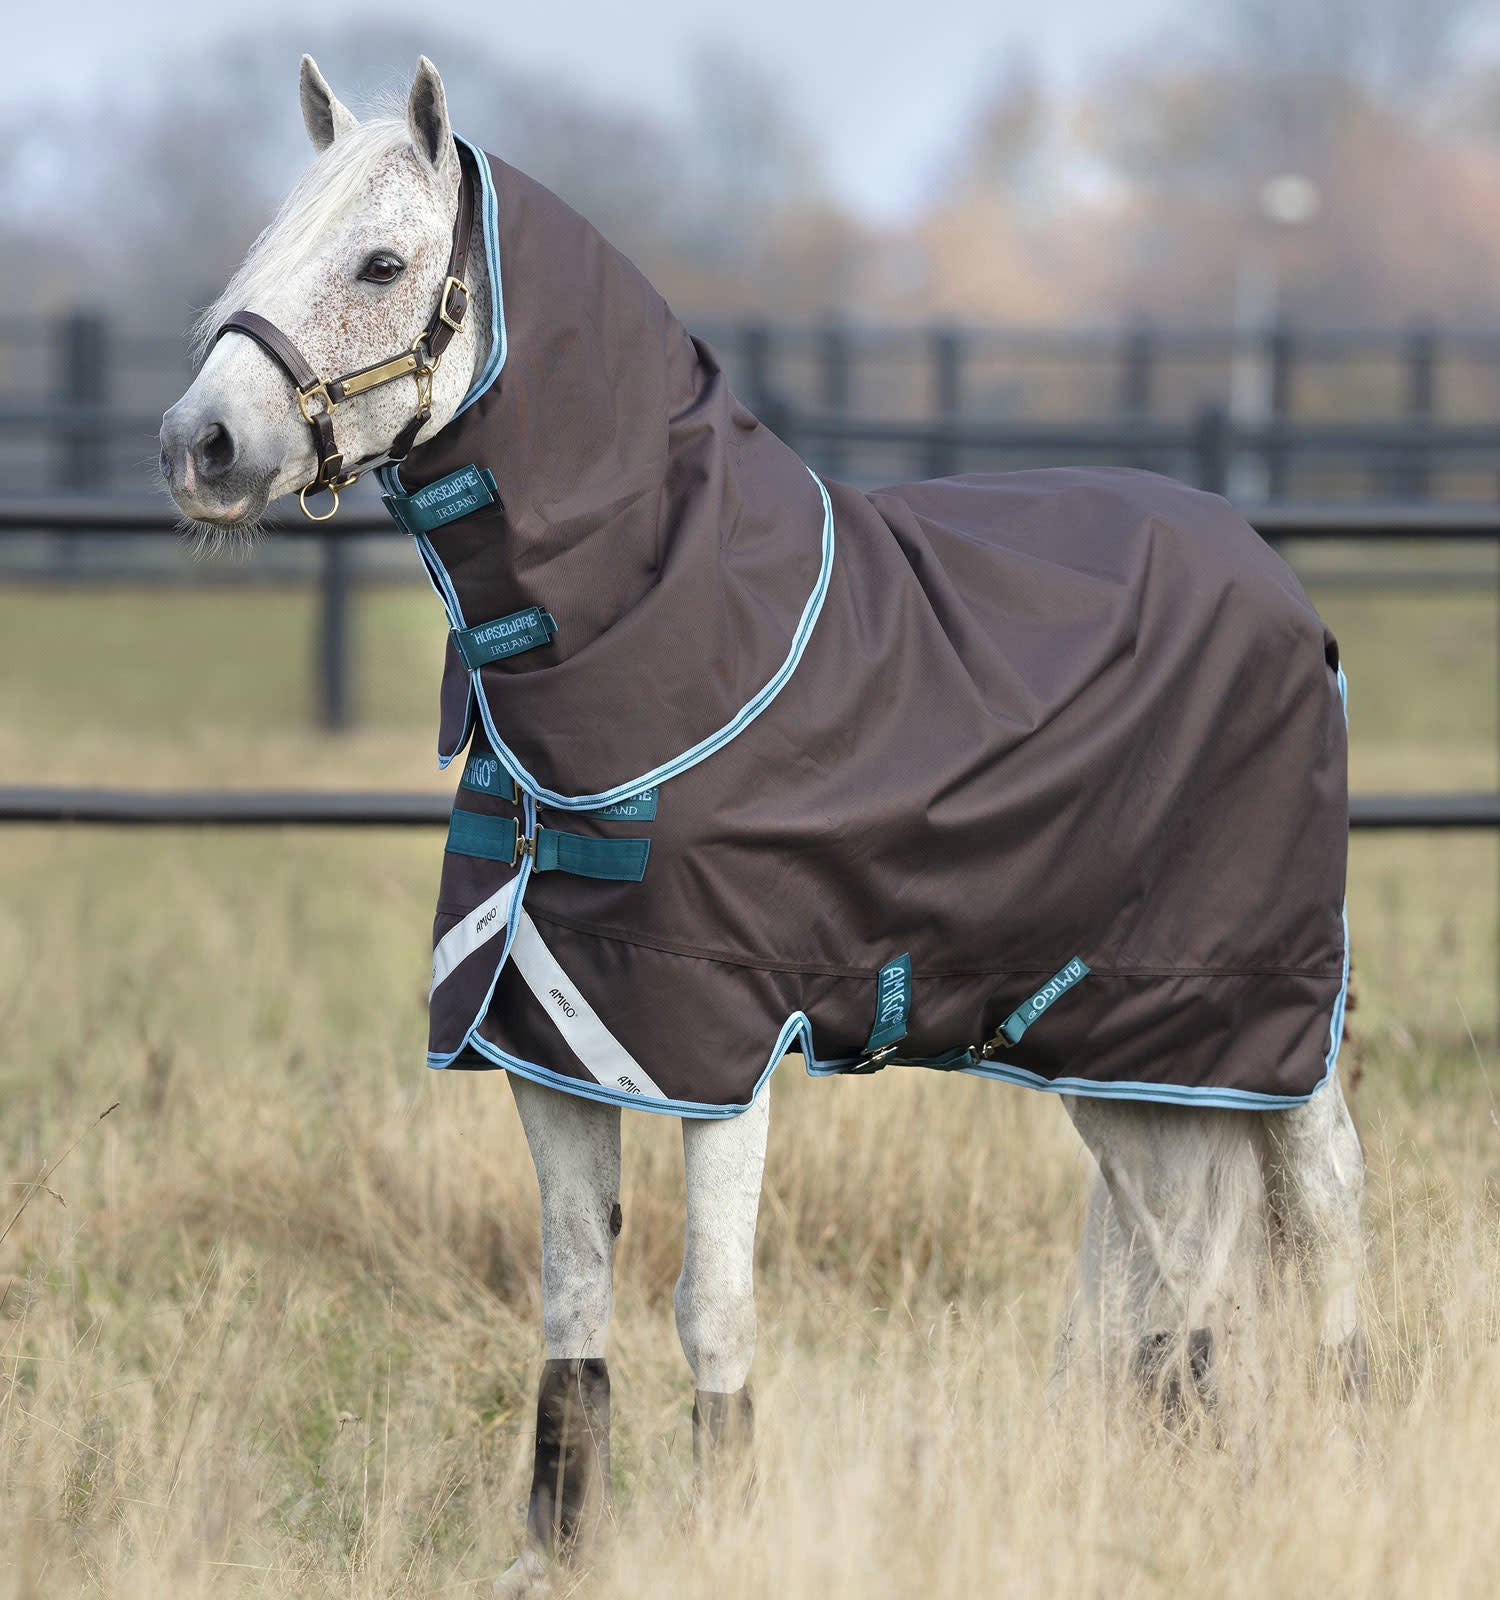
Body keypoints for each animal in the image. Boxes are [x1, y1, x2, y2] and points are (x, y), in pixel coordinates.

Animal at [160, 55, 1367, 1595]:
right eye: (267, 244)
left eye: (380, 263)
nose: (196, 445)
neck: (672, 638)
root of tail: (1275, 581)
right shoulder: (555, 1043)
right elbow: (573, 1304)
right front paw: (557, 1550)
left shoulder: (719, 1049)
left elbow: (711, 1312)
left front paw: (728, 1531)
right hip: (1124, 1038)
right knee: (1180, 1251)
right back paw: (1182, 1476)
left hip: (1267, 1006)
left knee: (1323, 1212)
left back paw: (1345, 1450)